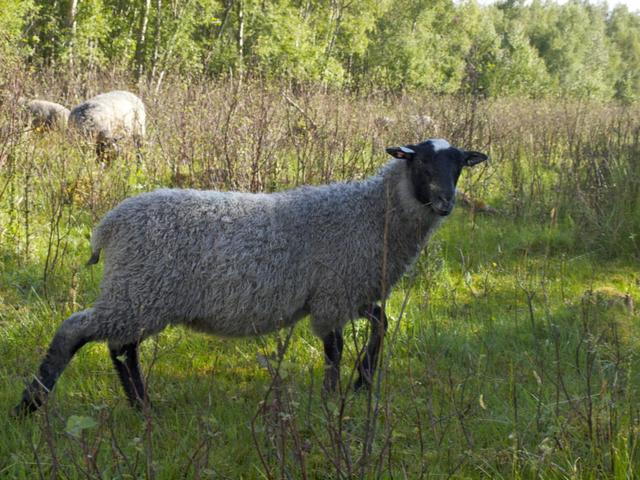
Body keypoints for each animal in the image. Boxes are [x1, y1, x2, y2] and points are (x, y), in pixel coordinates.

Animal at [13, 138, 488, 415]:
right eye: (421, 163)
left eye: (459, 165)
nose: (446, 203)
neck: (372, 213)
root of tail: (108, 226)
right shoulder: (332, 296)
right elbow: (334, 350)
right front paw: (331, 399)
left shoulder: (350, 293)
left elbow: (381, 324)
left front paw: (362, 382)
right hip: (138, 291)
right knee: (77, 331)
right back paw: (31, 404)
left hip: (139, 294)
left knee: (120, 347)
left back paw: (143, 407)